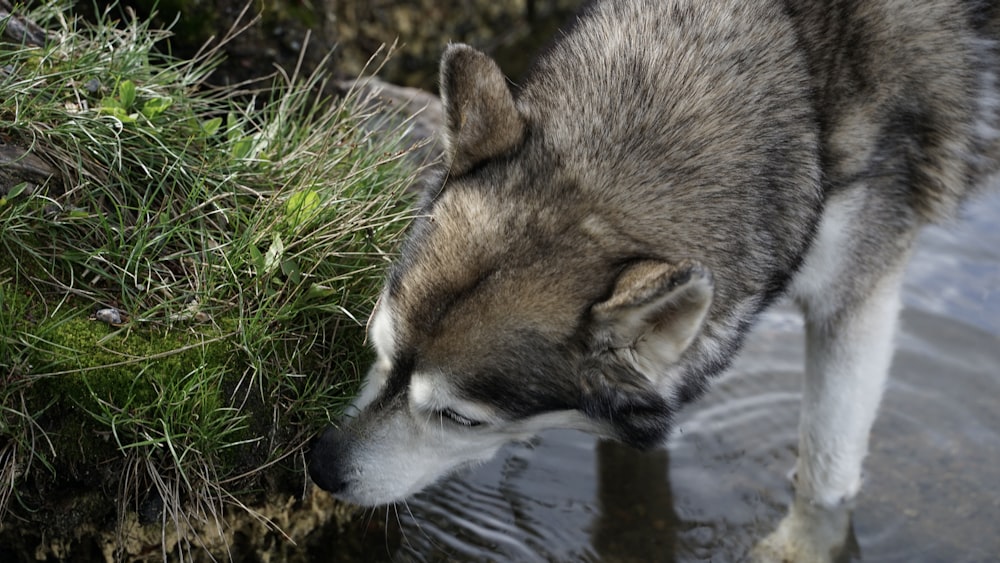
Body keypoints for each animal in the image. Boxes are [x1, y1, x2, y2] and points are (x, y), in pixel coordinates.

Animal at [308, 1, 996, 560]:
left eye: (459, 419)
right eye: (378, 349)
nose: (321, 464)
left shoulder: (857, 300)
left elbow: (826, 469)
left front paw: (799, 548)